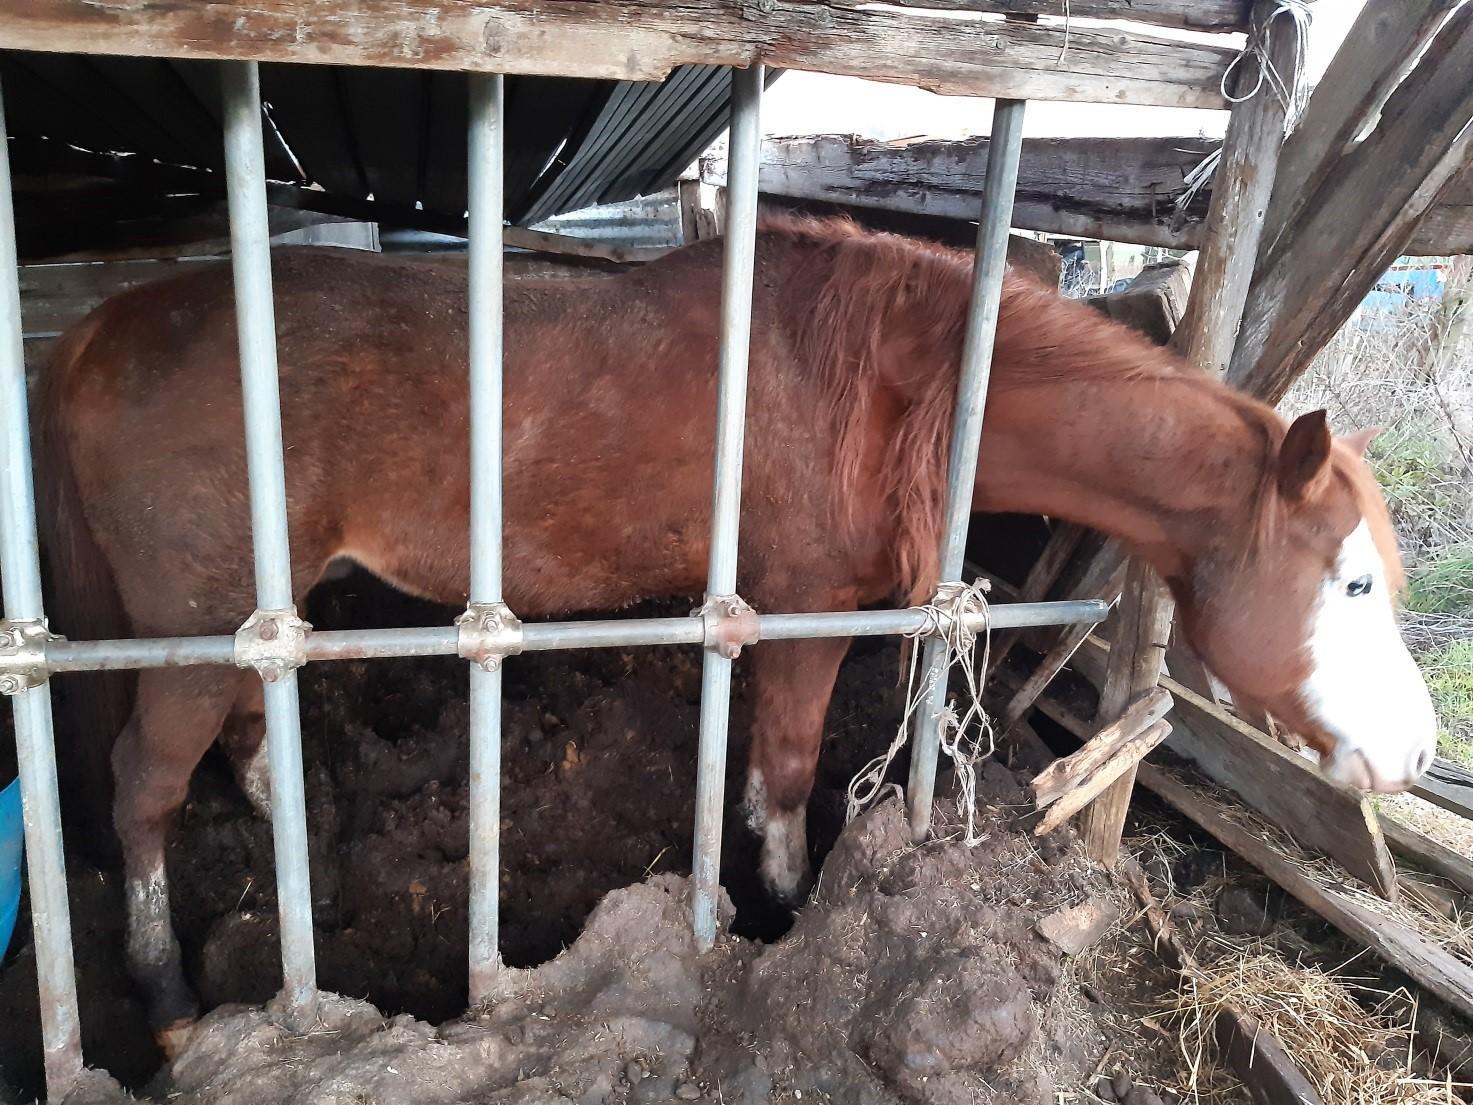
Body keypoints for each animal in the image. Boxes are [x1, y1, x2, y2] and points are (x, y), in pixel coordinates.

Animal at [35, 216, 1436, 1048]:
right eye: (1354, 585)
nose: (1421, 754)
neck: (894, 380)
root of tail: (105, 327)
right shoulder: (807, 611)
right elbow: (780, 780)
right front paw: (784, 909)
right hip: (192, 626)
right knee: (143, 786)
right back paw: (165, 991)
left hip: (254, 618)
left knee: (243, 736)